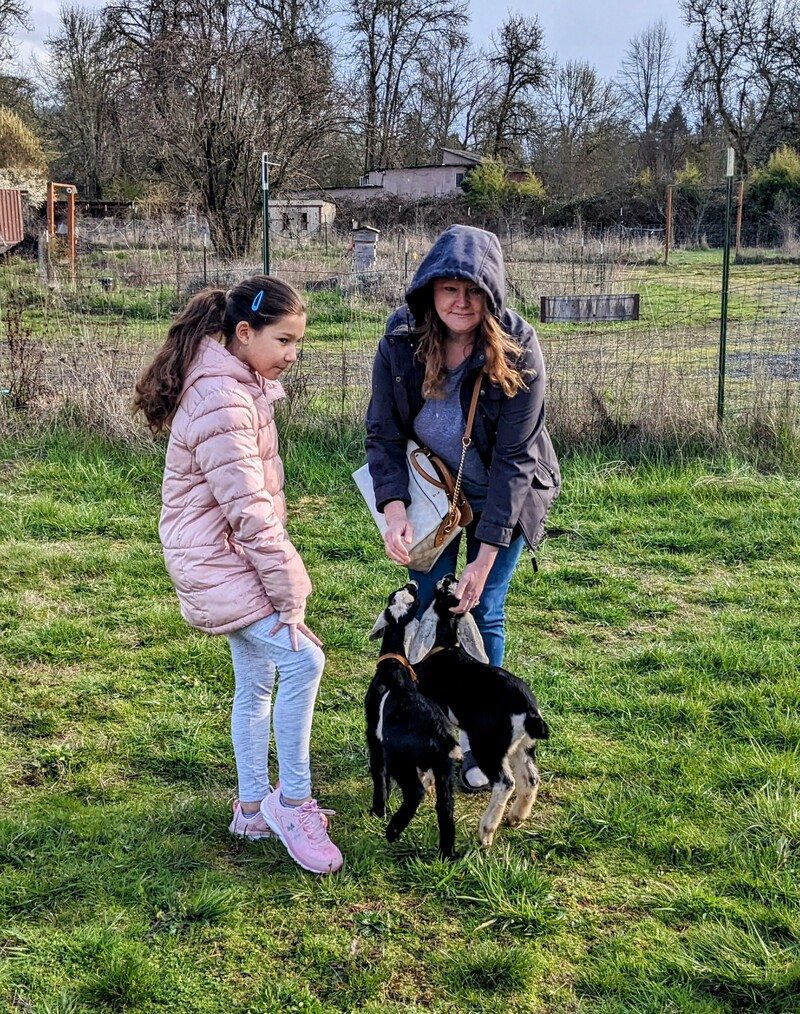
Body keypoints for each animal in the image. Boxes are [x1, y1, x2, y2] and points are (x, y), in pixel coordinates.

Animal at [362, 584, 458, 859]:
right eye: (412, 599)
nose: (412, 585)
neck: (394, 666)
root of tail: (439, 733)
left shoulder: (374, 735)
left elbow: (378, 771)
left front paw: (378, 810)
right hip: (443, 767)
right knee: (445, 806)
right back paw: (446, 853)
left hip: (402, 760)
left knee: (415, 792)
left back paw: (393, 830)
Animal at [409, 571, 547, 847]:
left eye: (446, 589)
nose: (449, 575)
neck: (443, 646)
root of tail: (529, 712)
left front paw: (424, 780)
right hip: (523, 746)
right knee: (530, 779)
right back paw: (516, 817)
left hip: (489, 745)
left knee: (506, 783)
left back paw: (486, 832)